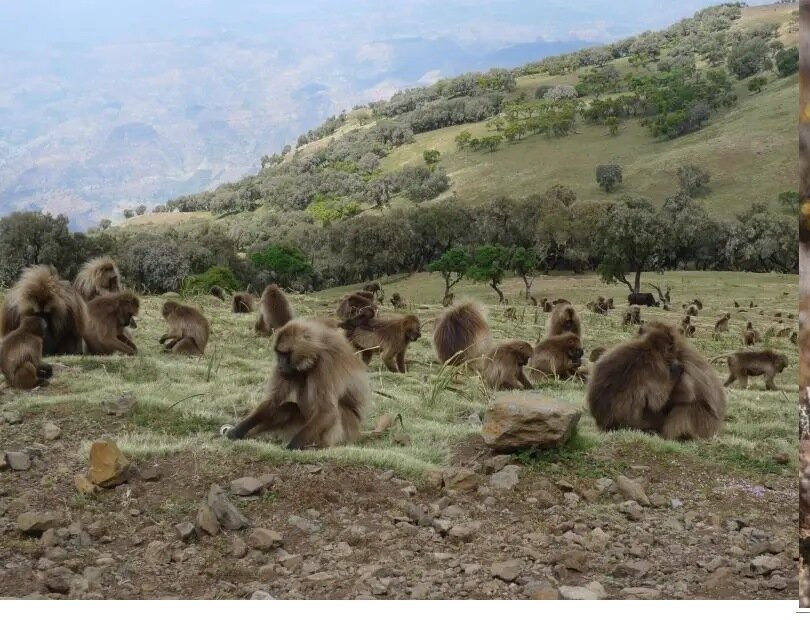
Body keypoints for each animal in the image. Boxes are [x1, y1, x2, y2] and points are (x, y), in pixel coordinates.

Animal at [222, 319, 370, 449]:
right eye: (279, 353)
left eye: (285, 354)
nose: (280, 365)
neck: (315, 354)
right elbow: (271, 402)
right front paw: (238, 430)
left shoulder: (327, 364)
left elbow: (327, 410)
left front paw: (292, 446)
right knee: (286, 408)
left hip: (346, 430)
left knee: (336, 409)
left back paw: (317, 445)